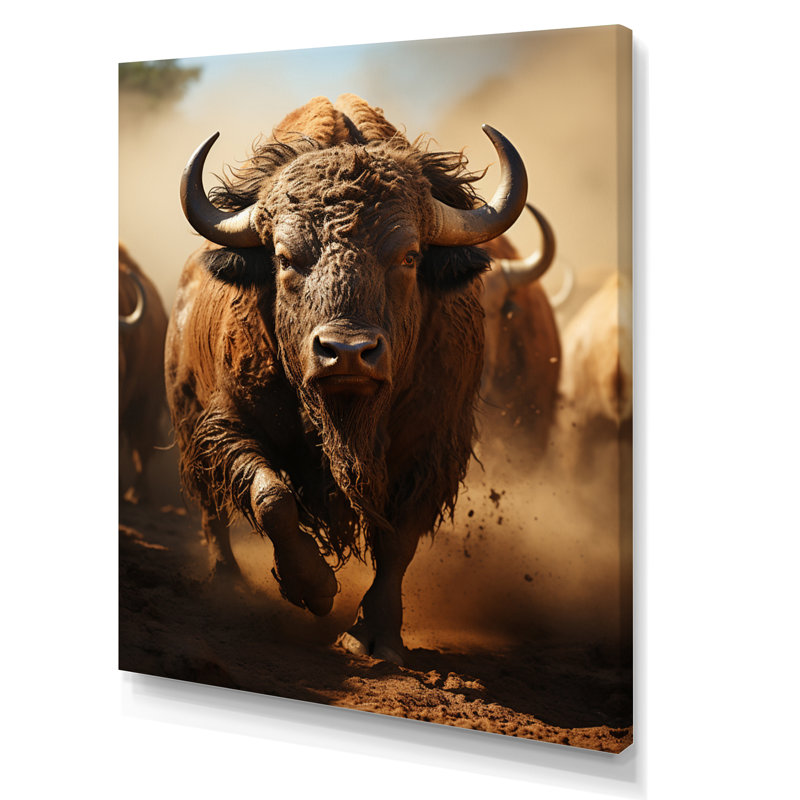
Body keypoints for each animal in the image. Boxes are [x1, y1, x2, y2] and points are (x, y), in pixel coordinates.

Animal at [165, 94, 531, 663]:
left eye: (409, 256)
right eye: (284, 257)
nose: (347, 352)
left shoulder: (433, 448)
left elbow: (399, 540)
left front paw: (374, 636)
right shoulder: (225, 423)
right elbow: (271, 497)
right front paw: (314, 590)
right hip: (186, 419)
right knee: (211, 510)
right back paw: (228, 584)